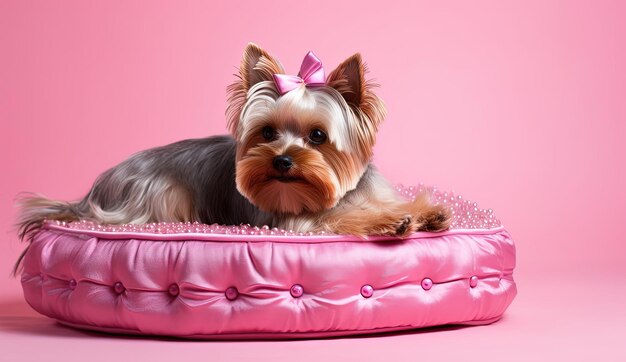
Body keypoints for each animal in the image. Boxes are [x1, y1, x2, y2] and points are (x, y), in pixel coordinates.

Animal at [17, 43, 448, 246]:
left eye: (318, 136)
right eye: (267, 133)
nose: (283, 161)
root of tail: (96, 187)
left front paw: (427, 213)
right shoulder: (301, 220)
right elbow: (347, 218)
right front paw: (391, 222)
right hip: (161, 196)